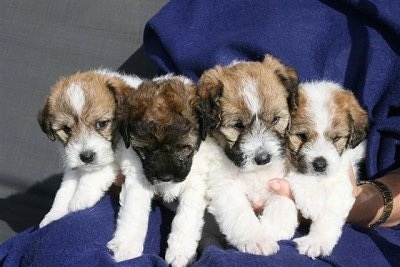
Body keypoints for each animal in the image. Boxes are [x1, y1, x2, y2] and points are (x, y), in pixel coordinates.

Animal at [36, 69, 142, 228]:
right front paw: (53, 215)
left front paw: (80, 199)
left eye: (102, 124)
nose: (86, 157)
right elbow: (64, 190)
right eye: (66, 129)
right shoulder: (72, 161)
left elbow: (97, 172)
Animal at [108, 74, 211, 266]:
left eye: (184, 147)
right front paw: (126, 248)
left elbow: (187, 216)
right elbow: (133, 212)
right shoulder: (139, 178)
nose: (165, 177)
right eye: (144, 149)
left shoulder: (196, 182)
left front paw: (180, 252)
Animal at [197, 55, 300, 256]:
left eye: (275, 120)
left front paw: (273, 229)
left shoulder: (278, 177)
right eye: (238, 125)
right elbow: (240, 214)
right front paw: (257, 239)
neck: (255, 173)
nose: (263, 159)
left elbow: (281, 199)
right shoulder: (223, 186)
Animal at [284, 81, 368, 260]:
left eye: (336, 138)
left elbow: (330, 212)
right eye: (302, 136)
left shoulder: (341, 180)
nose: (320, 164)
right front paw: (312, 199)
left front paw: (316, 241)